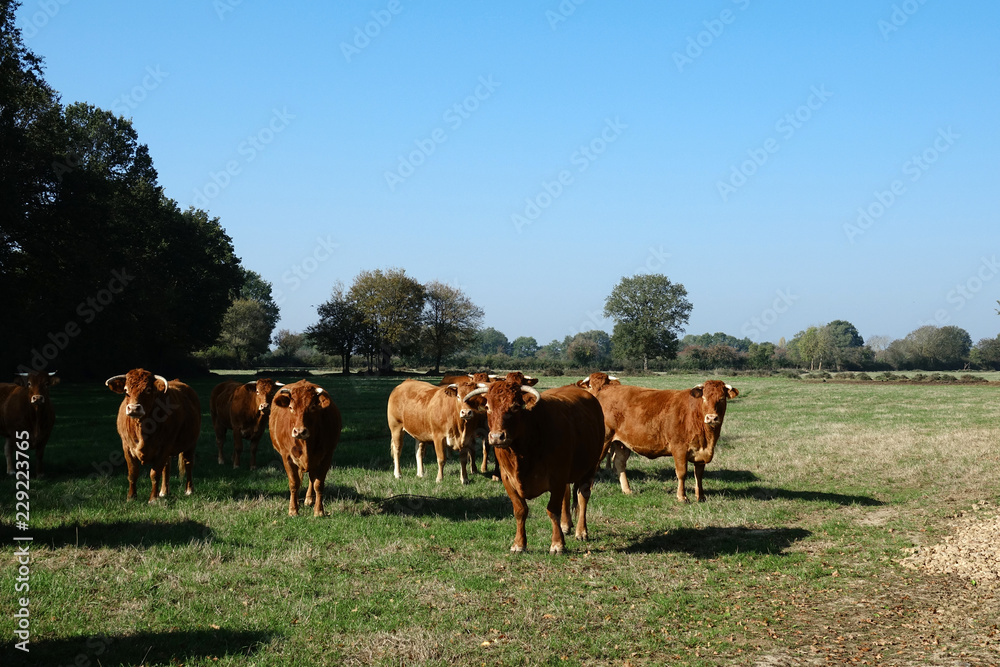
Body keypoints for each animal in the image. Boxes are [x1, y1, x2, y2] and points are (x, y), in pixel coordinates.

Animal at [105, 368, 201, 504]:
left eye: (148, 390)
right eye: (126, 390)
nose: (134, 408)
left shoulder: (164, 447)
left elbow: (154, 474)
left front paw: (153, 499)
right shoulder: (126, 447)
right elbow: (133, 473)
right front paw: (131, 497)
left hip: (191, 443)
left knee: (188, 463)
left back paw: (188, 490)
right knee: (167, 467)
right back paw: (164, 492)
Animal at [268, 380, 342, 516]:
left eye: (312, 407)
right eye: (291, 408)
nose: (299, 431)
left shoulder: (327, 456)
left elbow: (318, 484)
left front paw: (319, 511)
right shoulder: (287, 456)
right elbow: (294, 483)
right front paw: (293, 509)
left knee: (312, 478)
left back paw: (309, 499)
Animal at [580, 374, 736, 504]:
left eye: (721, 399)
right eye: (704, 398)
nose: (711, 418)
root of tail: (604, 390)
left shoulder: (701, 453)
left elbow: (699, 474)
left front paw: (701, 496)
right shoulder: (679, 449)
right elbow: (682, 473)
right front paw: (682, 497)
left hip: (621, 443)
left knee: (619, 463)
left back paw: (627, 490)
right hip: (604, 441)